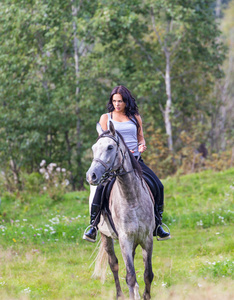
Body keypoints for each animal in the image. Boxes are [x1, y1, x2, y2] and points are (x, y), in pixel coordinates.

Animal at [86, 121, 155, 300]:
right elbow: (130, 276)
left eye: (110, 147)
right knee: (114, 264)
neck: (132, 199)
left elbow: (147, 274)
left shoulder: (146, 239)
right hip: (106, 236)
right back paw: (119, 295)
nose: (91, 176)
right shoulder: (125, 239)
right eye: (94, 148)